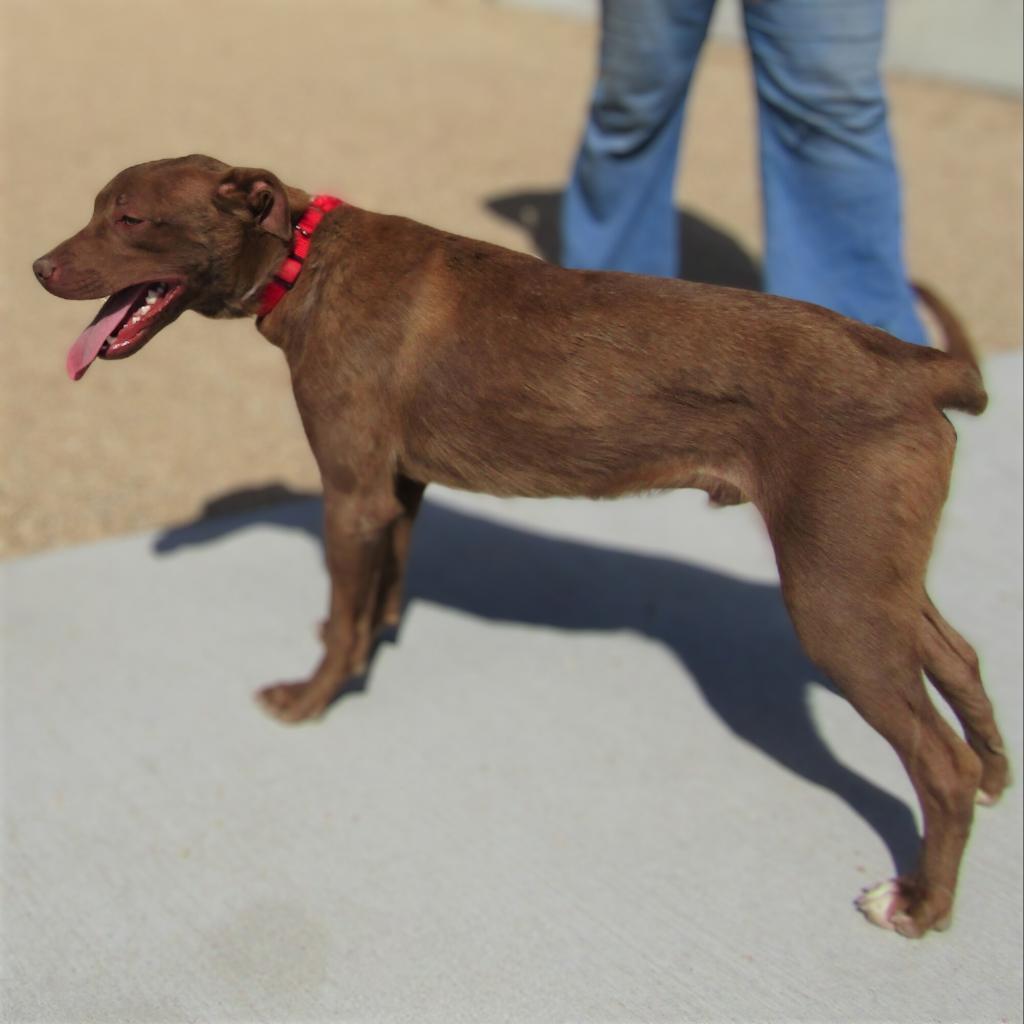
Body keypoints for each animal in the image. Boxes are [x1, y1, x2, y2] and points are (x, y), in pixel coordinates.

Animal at [32, 153, 1007, 937]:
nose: (38, 267)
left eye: (130, 218)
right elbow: (377, 598)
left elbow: (345, 612)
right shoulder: (398, 490)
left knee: (938, 763)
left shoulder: (352, 495)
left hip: (834, 596)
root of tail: (918, 366)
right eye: (96, 208)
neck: (305, 261)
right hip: (870, 569)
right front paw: (363, 656)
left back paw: (922, 903)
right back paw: (998, 777)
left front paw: (311, 699)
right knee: (961, 661)